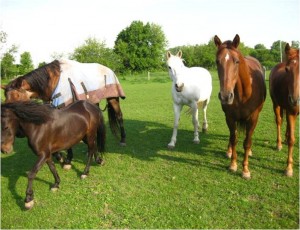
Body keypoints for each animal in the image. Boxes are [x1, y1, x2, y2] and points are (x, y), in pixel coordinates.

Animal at [213, 34, 268, 179]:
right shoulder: (230, 118)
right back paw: (229, 151)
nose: (226, 96)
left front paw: (245, 170)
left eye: (237, 61)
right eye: (217, 61)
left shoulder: (253, 118)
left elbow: (247, 142)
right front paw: (233, 164)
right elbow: (234, 139)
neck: (243, 93)